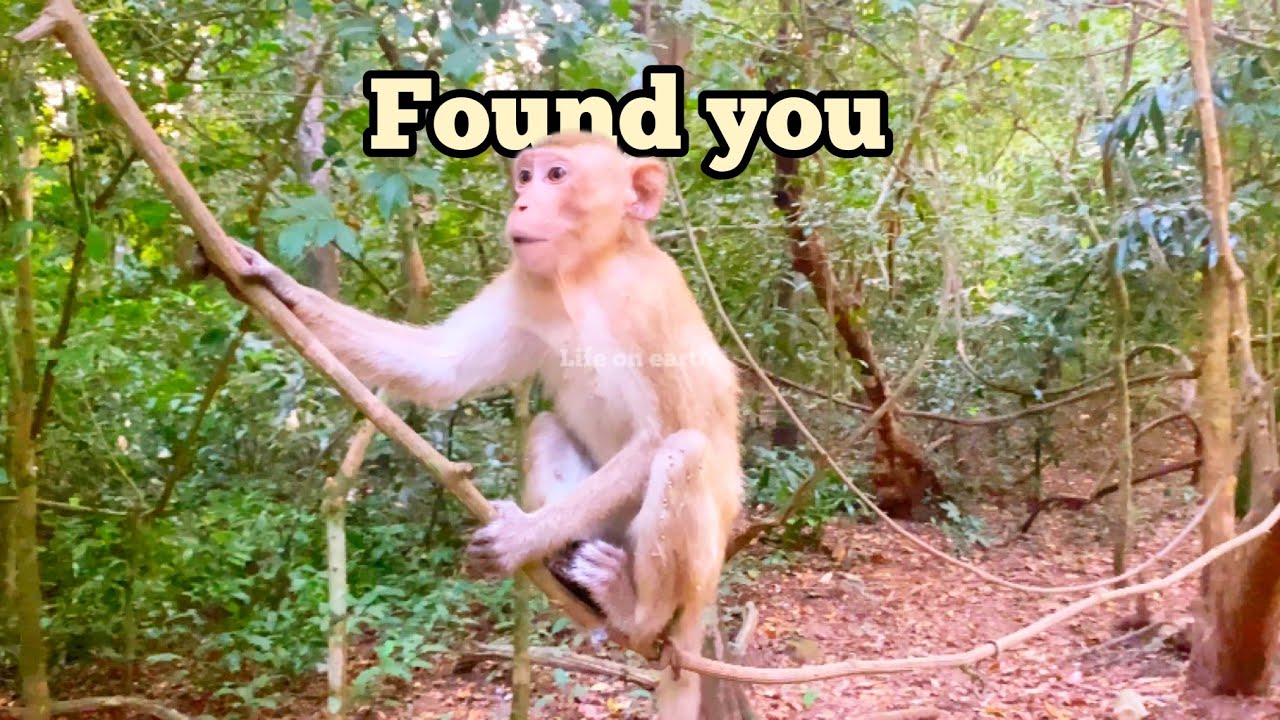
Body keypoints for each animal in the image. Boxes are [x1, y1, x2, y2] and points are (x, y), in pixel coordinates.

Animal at [208, 132, 742, 719]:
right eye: (526, 177)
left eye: (557, 175)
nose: (522, 203)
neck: (588, 275)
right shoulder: (528, 283)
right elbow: (444, 366)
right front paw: (275, 283)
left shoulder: (651, 299)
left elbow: (662, 433)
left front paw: (522, 536)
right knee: (546, 427)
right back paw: (569, 573)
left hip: (699, 571)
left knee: (684, 450)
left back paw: (634, 611)